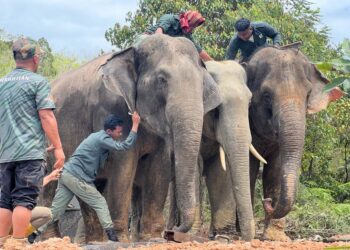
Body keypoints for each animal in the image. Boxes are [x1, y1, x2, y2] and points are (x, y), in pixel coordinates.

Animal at [41, 33, 221, 242]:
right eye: (162, 80)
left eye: (202, 85)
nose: (173, 232)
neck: (132, 50)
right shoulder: (110, 108)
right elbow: (124, 166)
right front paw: (122, 240)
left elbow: (159, 167)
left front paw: (152, 239)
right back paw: (70, 239)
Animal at [130, 59, 258, 241]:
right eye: (216, 109)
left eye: (249, 103)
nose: (243, 239)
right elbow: (196, 169)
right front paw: (191, 234)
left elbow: (221, 172)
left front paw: (222, 237)